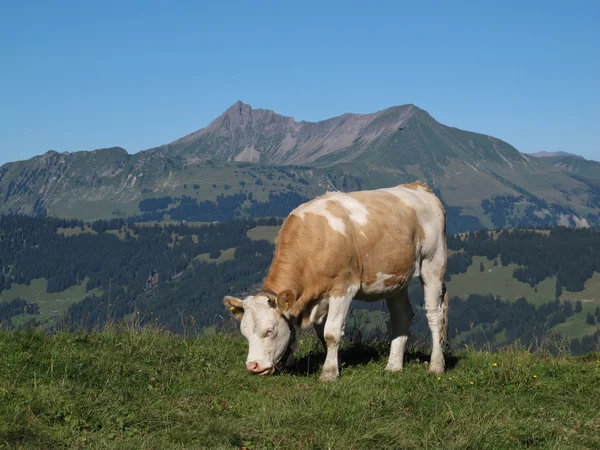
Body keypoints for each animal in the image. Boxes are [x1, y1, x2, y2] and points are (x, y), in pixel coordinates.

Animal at [223, 181, 448, 382]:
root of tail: (419, 187)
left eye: (270, 330)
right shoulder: (319, 299)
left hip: (433, 262)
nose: (253, 366)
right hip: (395, 278)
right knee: (402, 315)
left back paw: (436, 366)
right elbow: (322, 334)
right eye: (244, 333)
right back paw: (393, 366)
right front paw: (334, 364)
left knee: (434, 314)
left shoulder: (344, 287)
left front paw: (329, 374)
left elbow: (331, 333)